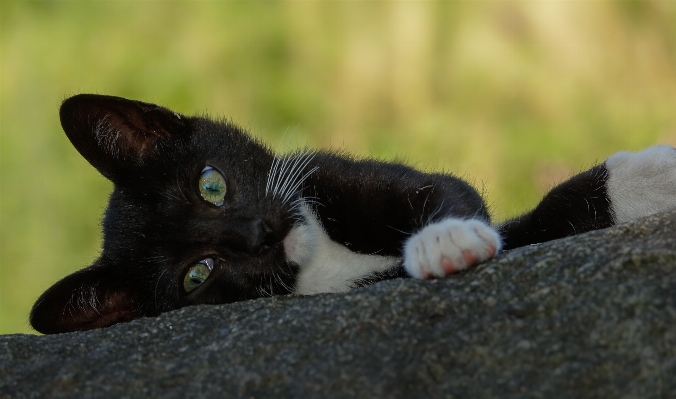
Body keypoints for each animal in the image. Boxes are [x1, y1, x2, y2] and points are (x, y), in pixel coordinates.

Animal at [27, 94, 676, 334]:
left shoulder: (328, 174)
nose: (259, 233)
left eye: (211, 185)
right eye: (197, 274)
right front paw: (446, 250)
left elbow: (466, 198)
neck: (321, 254)